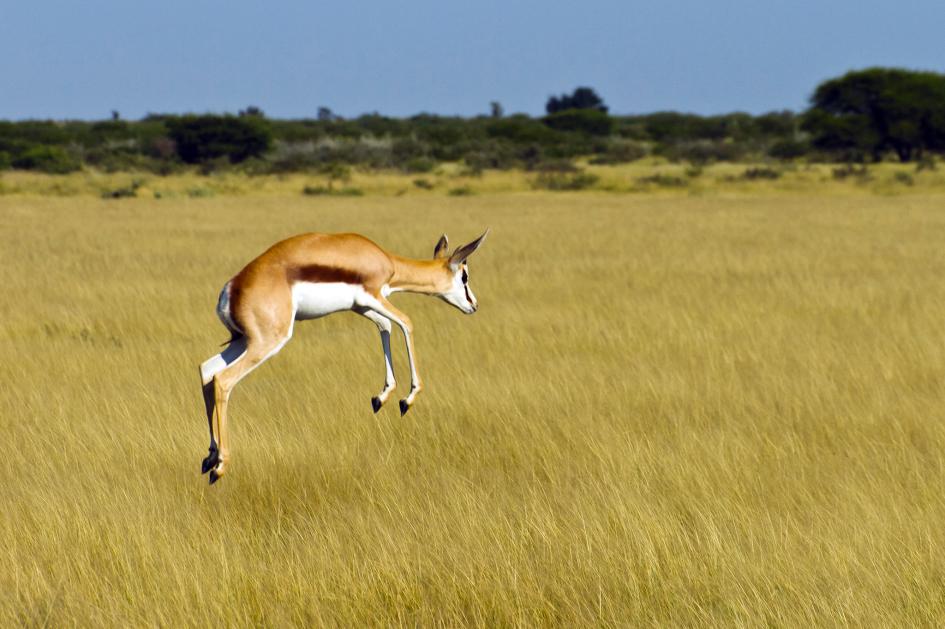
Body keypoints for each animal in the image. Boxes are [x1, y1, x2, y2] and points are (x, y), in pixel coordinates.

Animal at [197, 228, 486, 484]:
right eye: (464, 276)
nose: (473, 305)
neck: (385, 261)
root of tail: (231, 289)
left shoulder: (361, 306)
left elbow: (386, 326)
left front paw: (382, 397)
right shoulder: (373, 295)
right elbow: (406, 323)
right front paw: (407, 399)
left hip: (243, 341)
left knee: (207, 370)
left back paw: (210, 457)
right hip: (268, 341)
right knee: (223, 380)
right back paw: (220, 467)